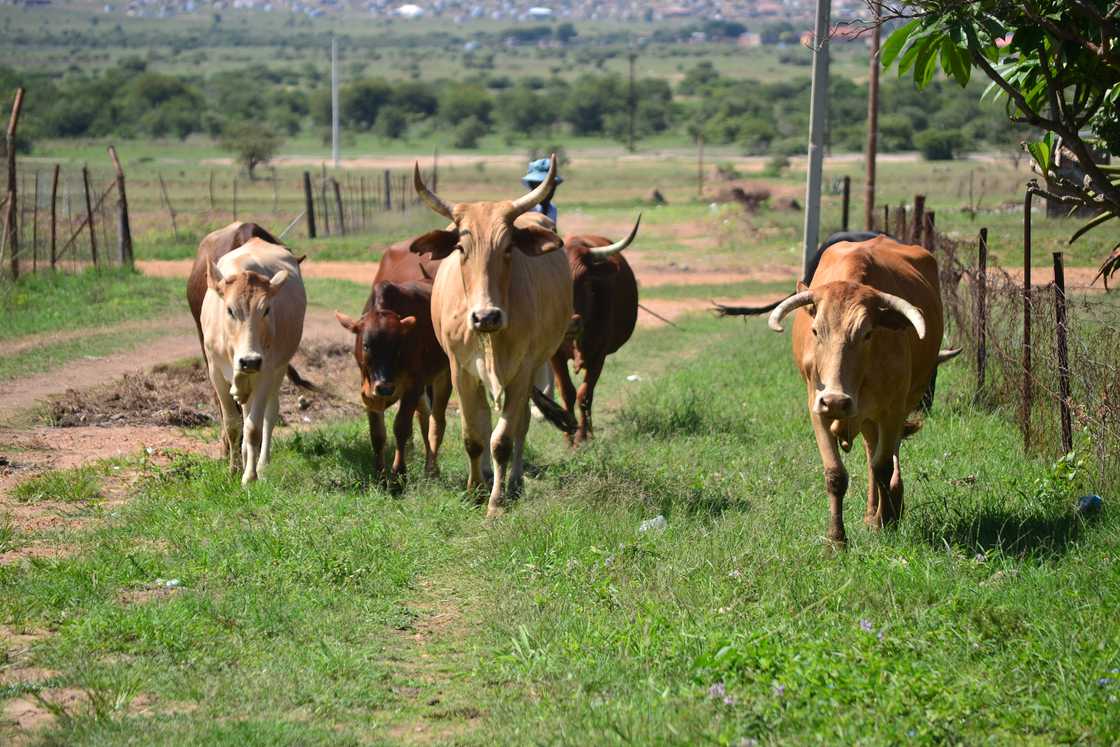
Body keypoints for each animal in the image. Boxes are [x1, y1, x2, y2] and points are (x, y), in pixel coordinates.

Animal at [201, 237, 306, 486]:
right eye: (230, 310)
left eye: (266, 309)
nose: (249, 360)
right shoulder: (215, 372)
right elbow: (232, 424)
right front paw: (233, 470)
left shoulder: (265, 371)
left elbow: (253, 427)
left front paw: (249, 476)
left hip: (279, 369)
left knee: (269, 414)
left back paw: (262, 463)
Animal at [335, 242, 450, 485]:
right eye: (366, 345)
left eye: (398, 346)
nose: (385, 387)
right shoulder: (368, 391)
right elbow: (377, 434)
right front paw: (379, 474)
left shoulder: (413, 385)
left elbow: (401, 427)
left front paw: (399, 474)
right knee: (424, 417)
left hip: (444, 376)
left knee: (437, 422)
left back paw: (432, 469)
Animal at [409, 154, 573, 519]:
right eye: (460, 247)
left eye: (509, 246)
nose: (486, 316)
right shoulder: (460, 369)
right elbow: (474, 434)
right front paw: (475, 489)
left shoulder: (523, 371)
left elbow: (503, 439)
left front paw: (496, 502)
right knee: (484, 420)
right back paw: (485, 474)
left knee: (520, 425)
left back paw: (514, 483)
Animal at [548, 216, 642, 445]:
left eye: (585, 279)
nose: (570, 323)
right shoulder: (554, 355)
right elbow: (567, 392)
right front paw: (568, 436)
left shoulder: (599, 354)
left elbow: (584, 394)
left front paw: (582, 436)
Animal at [765, 234, 945, 546]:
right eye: (816, 331)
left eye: (867, 333)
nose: (836, 400)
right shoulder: (818, 408)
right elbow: (836, 474)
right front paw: (837, 539)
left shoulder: (892, 411)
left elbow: (882, 467)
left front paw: (885, 522)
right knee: (871, 451)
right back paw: (874, 512)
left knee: (884, 458)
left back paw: (887, 509)